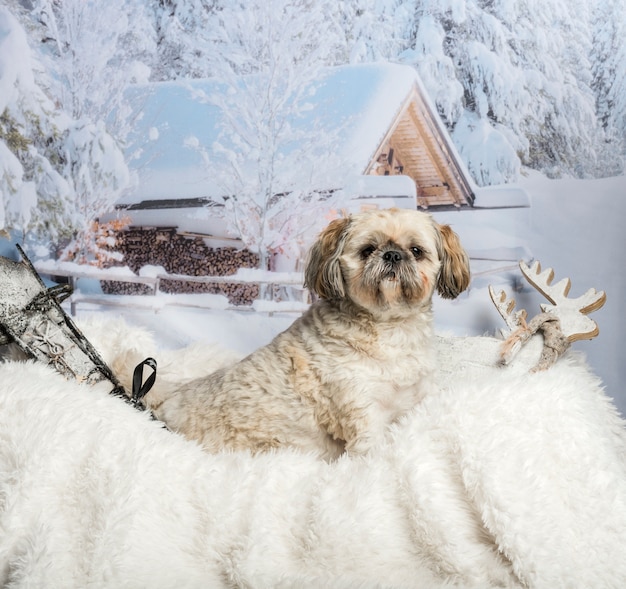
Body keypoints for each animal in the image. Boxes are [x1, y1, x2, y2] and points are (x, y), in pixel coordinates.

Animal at [136, 207, 468, 460]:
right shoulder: (361, 409)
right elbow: (370, 453)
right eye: (367, 250)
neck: (388, 327)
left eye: (416, 251)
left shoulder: (419, 396)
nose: (392, 255)